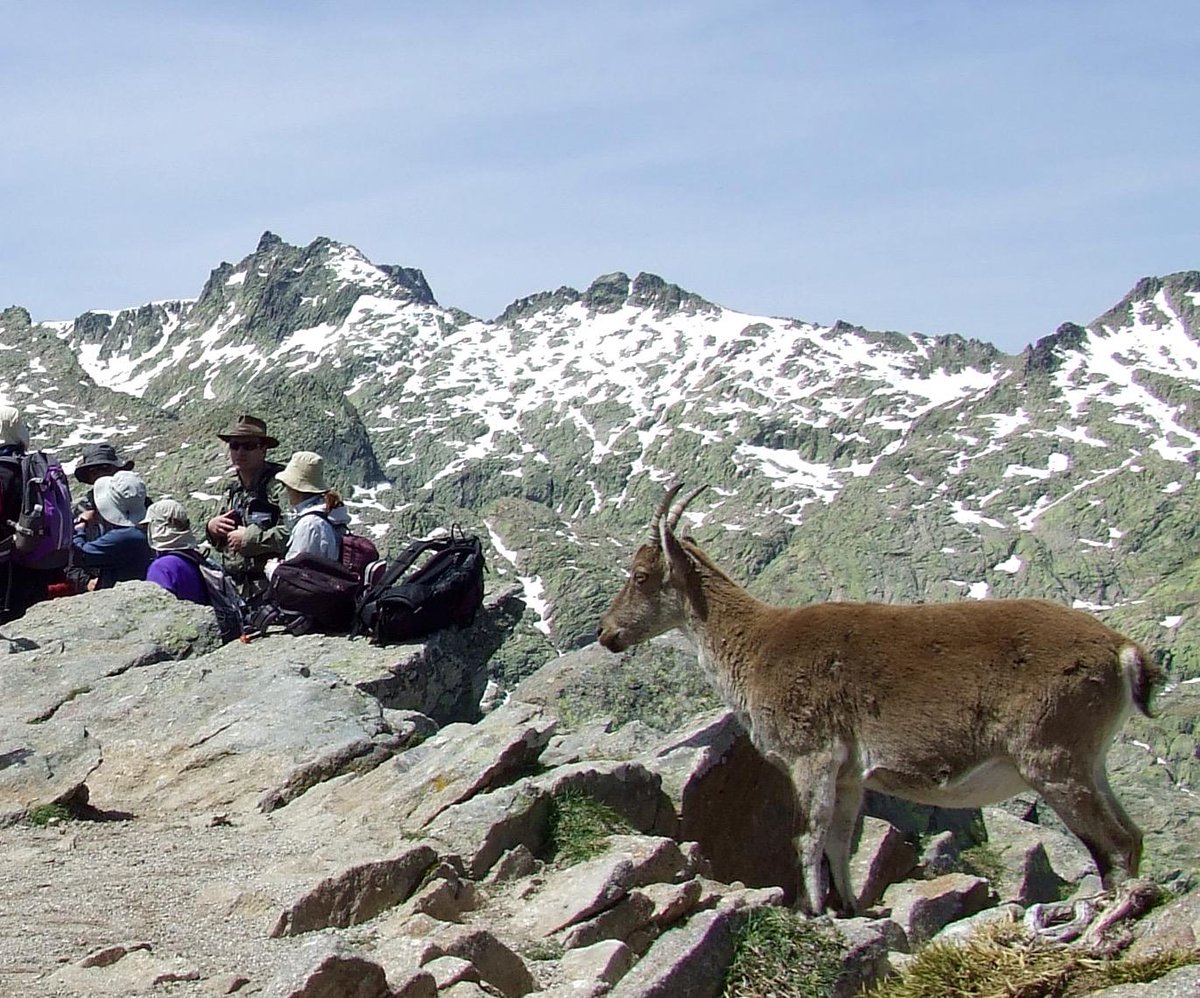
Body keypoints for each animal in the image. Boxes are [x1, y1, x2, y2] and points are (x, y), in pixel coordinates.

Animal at [596, 484, 1162, 915]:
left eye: (641, 576)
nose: (607, 634)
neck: (756, 646)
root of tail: (1123, 652)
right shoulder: (849, 774)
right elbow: (841, 839)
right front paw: (850, 906)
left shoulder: (813, 755)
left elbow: (807, 837)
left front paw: (812, 910)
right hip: (1090, 759)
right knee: (1132, 836)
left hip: (1052, 757)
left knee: (1112, 843)